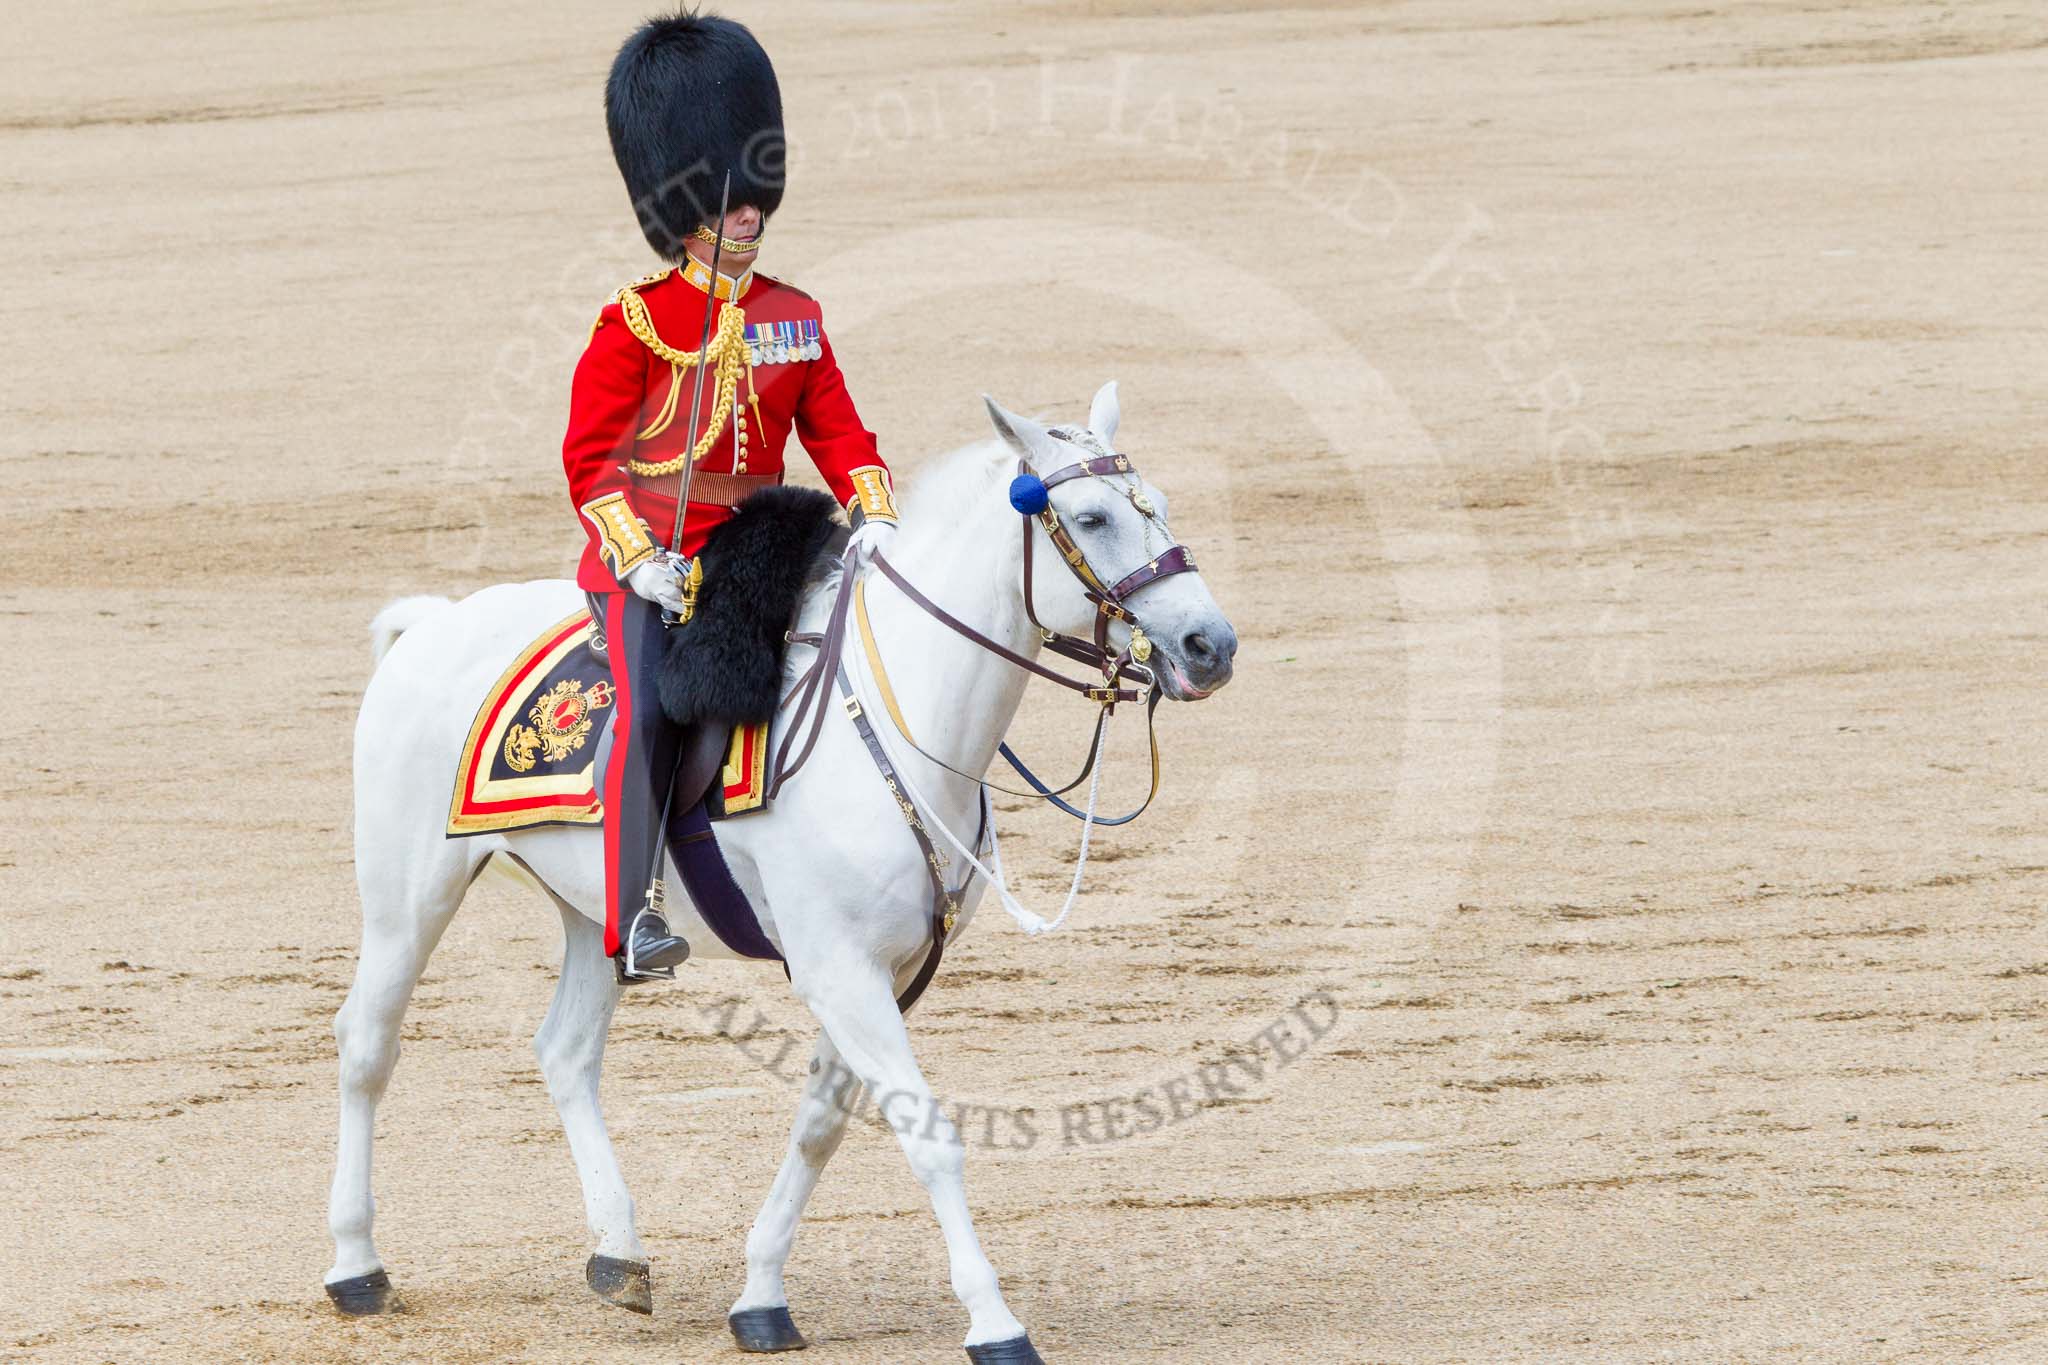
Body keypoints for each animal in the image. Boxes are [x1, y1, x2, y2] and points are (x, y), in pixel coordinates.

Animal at [327, 388, 1236, 1358]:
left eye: (1160, 506)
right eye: (1093, 517)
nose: (1210, 644)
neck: (902, 712)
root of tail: (431, 623)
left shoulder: (884, 970)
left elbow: (818, 1128)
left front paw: (761, 1294)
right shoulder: (842, 968)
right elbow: (926, 1132)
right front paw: (993, 1319)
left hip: (595, 911)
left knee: (566, 1051)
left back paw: (619, 1253)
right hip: (408, 896)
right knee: (367, 1045)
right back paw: (357, 1265)